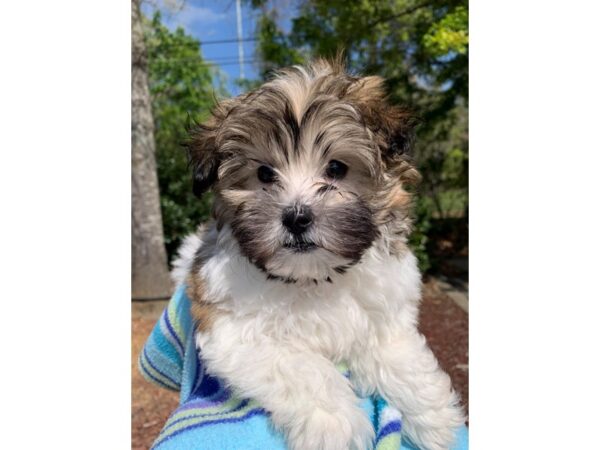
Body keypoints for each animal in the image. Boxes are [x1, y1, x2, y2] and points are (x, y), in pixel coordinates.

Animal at [173, 59, 464, 450]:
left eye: (337, 168)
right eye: (264, 174)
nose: (297, 217)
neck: (312, 276)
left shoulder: (383, 315)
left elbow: (396, 350)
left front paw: (433, 414)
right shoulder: (231, 327)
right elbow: (301, 367)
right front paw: (336, 425)